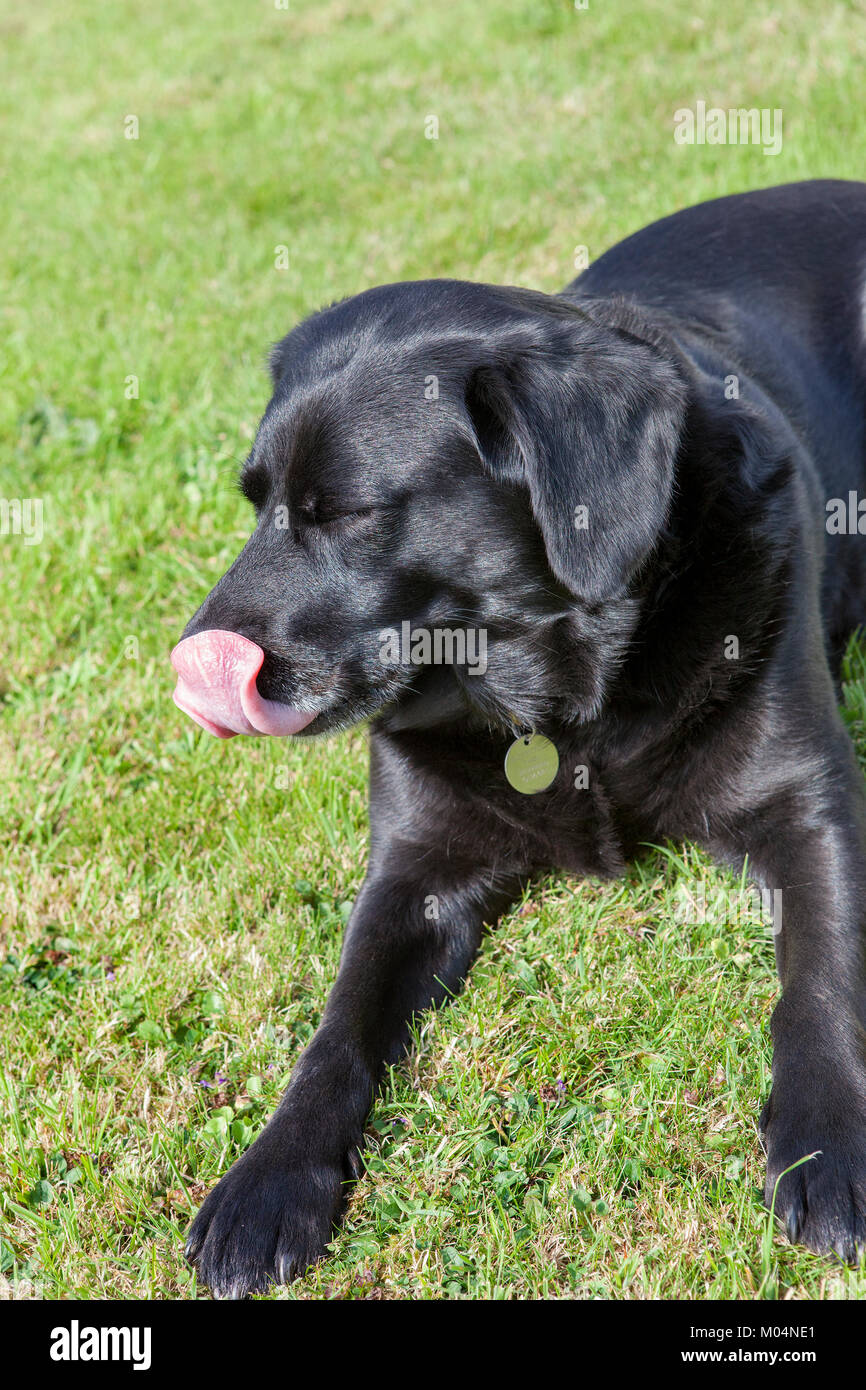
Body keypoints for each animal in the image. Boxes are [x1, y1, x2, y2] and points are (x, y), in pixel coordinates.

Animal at [170, 179, 866, 1295]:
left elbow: (818, 982)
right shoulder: (413, 872)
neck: (564, 705)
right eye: (257, 503)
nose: (192, 663)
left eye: (345, 512)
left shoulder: (809, 812)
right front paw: (267, 1180)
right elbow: (338, 1029)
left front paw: (827, 1139)